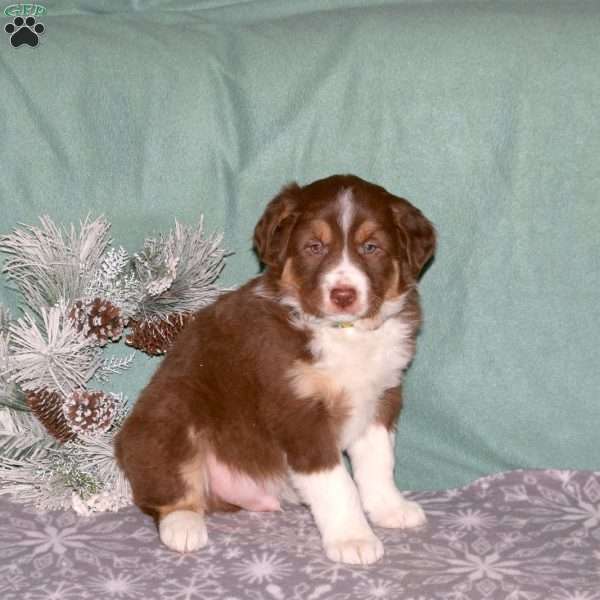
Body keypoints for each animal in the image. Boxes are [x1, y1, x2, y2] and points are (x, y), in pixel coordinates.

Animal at [115, 172, 436, 564]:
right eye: (314, 247)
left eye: (371, 247)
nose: (343, 294)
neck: (343, 333)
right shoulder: (298, 411)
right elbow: (337, 482)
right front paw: (353, 539)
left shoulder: (381, 396)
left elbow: (378, 462)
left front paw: (390, 509)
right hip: (169, 414)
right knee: (166, 488)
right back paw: (184, 525)